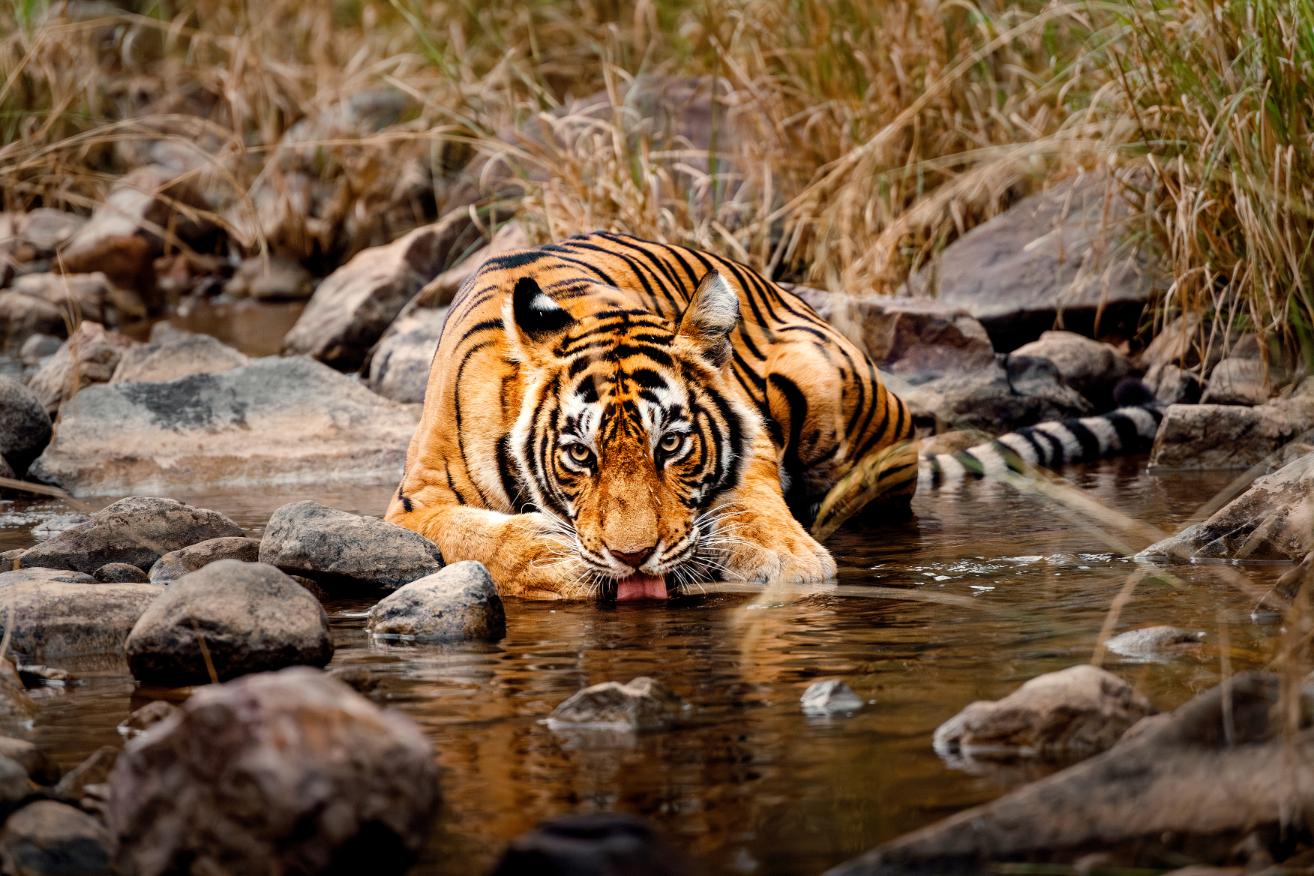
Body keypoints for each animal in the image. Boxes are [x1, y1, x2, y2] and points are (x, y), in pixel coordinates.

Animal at [385, 231, 1163, 600]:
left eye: (672, 444)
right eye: (581, 455)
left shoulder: (750, 438)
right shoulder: (415, 502)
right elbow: (472, 533)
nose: (634, 557)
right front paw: (553, 559)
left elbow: (757, 502)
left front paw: (784, 557)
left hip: (829, 387)